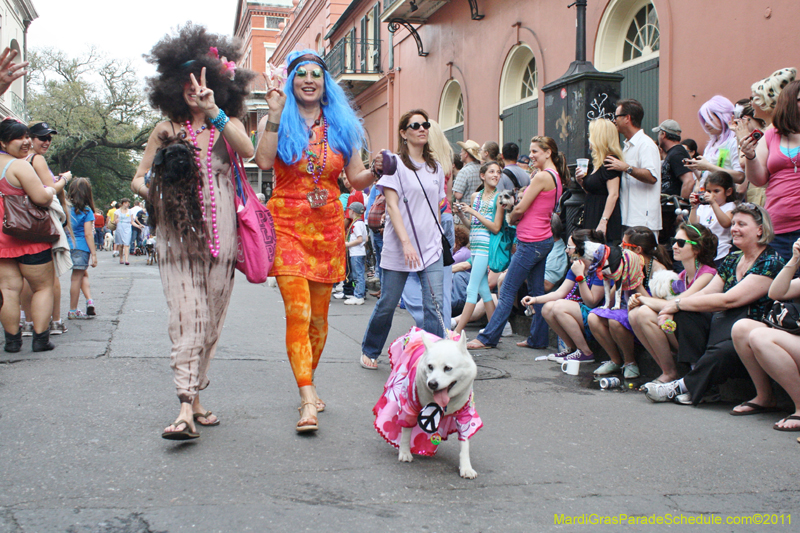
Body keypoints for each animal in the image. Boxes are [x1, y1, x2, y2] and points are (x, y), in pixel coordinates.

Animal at [374, 326, 482, 480]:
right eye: (430, 366)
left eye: (448, 368)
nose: (432, 384)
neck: (445, 403)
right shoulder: (409, 407)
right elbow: (406, 431)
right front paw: (405, 451)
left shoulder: (466, 416)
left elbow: (465, 443)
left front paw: (466, 467)